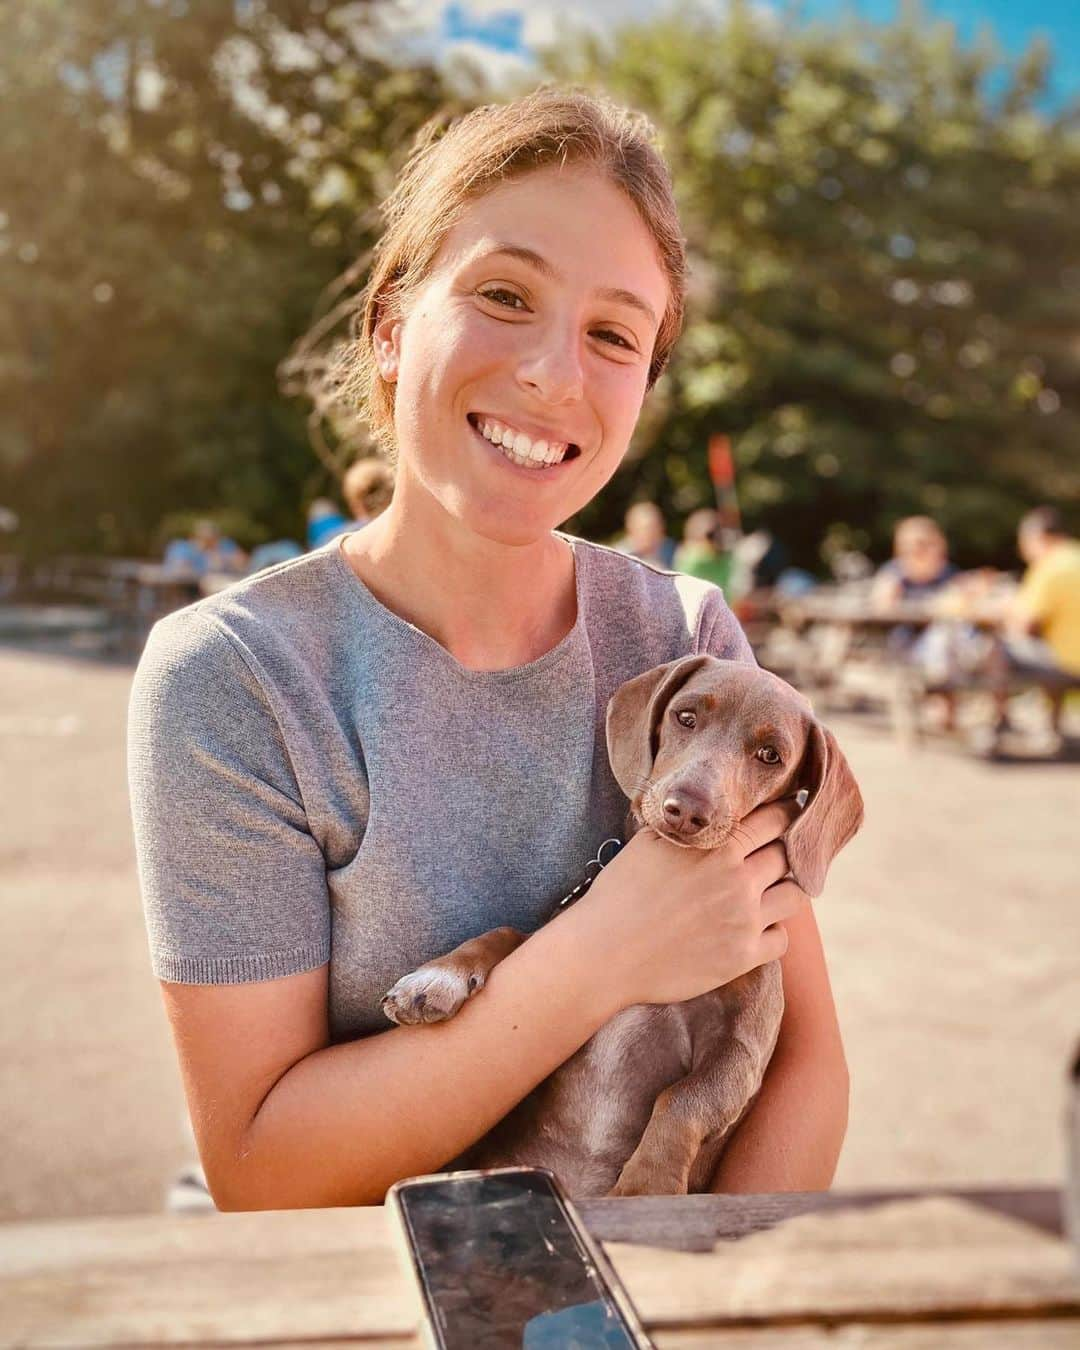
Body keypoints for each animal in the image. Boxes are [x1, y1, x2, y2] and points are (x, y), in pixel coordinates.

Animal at [383, 653, 864, 1193]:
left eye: (770, 755)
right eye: (685, 717)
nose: (686, 810)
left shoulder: (741, 1054)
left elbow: (683, 1100)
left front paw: (647, 1186)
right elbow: (507, 933)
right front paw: (436, 977)